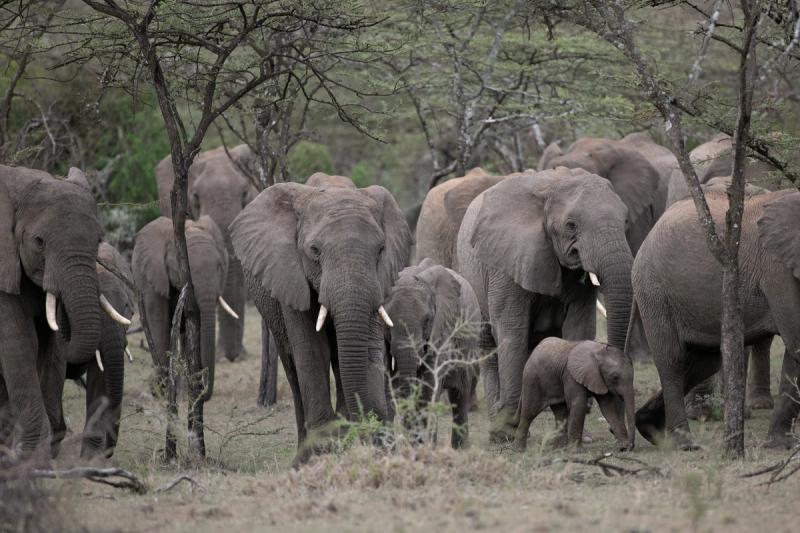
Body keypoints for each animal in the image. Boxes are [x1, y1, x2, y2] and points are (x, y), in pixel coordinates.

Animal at [132, 216, 236, 401]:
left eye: (219, 266)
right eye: (186, 271)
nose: (203, 390)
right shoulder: (153, 278)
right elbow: (158, 323)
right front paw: (159, 389)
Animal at [230, 177, 412, 464]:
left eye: (381, 249)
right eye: (314, 251)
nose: (367, 433)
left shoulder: (379, 281)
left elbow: (366, 348)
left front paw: (370, 446)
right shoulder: (291, 276)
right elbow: (311, 351)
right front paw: (320, 455)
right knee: (293, 368)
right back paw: (301, 457)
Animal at [383, 258, 481, 448]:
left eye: (427, 320)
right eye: (387, 320)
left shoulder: (441, 328)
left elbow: (428, 388)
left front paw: (426, 448)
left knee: (460, 395)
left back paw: (460, 448)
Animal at [457, 167, 635, 442]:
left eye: (625, 221)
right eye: (571, 225)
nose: (612, 430)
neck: (551, 188)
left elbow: (579, 326)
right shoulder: (506, 262)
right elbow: (511, 330)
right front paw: (507, 430)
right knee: (488, 344)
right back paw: (498, 425)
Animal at [631, 190, 800, 450]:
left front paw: (779, 445)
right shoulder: (778, 269)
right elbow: (797, 341)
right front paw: (780, 447)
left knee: (703, 362)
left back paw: (647, 426)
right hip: (653, 292)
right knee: (672, 360)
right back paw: (684, 443)